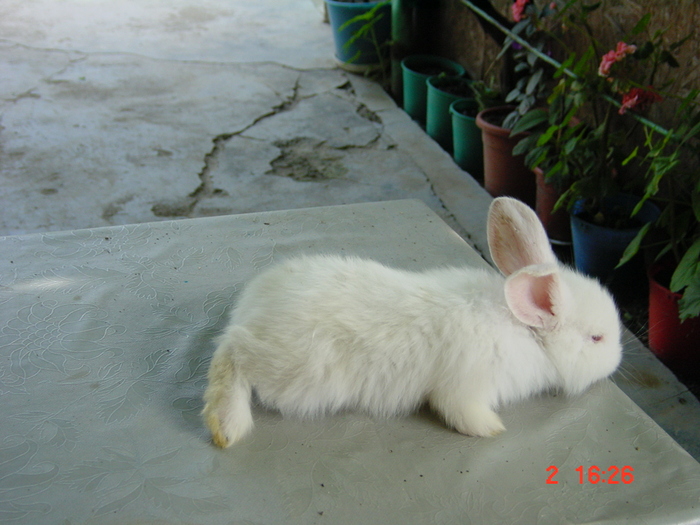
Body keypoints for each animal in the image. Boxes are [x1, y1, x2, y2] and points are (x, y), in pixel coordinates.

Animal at [202, 196, 624, 446]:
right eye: (597, 338)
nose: (617, 361)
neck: (522, 328)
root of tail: (251, 305)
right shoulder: (466, 387)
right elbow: (460, 411)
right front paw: (491, 428)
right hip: (285, 364)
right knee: (230, 354)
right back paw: (226, 425)